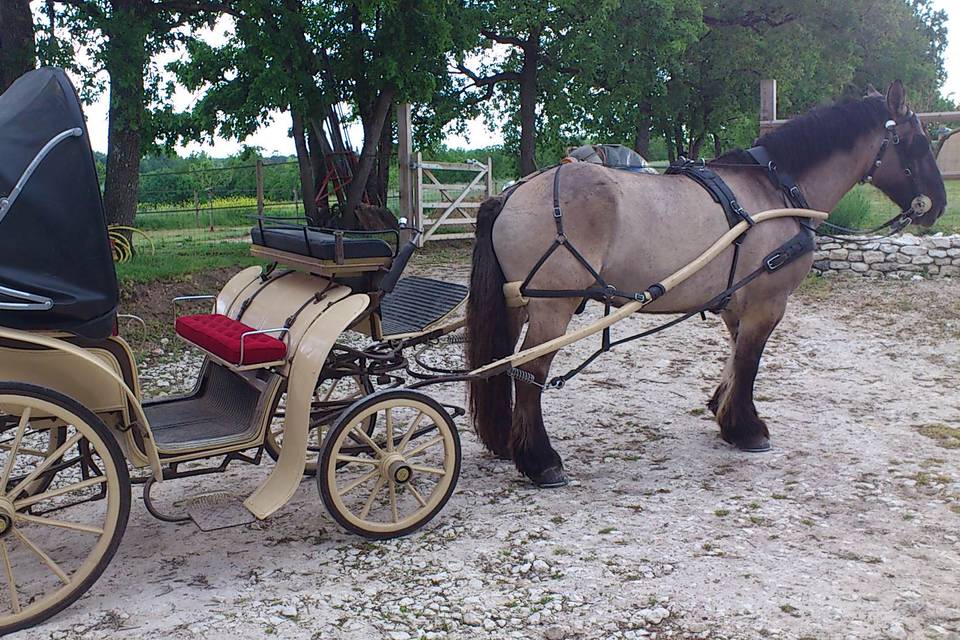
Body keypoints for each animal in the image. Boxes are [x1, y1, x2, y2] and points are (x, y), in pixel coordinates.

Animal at [464, 82, 944, 488]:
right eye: (918, 142)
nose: (938, 204)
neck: (775, 191)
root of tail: (509, 194)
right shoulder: (768, 301)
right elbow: (750, 361)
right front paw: (747, 428)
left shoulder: (737, 301)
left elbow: (735, 357)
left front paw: (724, 410)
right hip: (552, 308)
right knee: (530, 372)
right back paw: (540, 461)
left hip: (517, 304)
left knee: (501, 366)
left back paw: (506, 442)